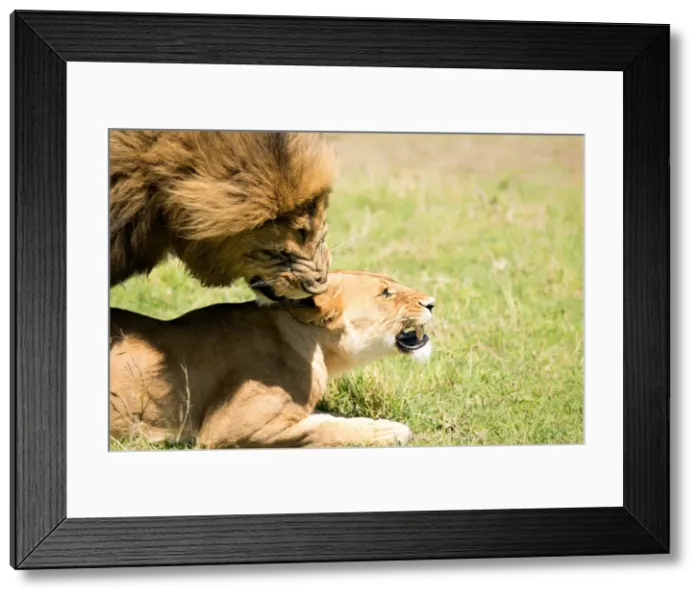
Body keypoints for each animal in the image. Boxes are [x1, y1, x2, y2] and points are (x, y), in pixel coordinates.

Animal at [109, 270, 436, 449]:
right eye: (386, 293)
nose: (432, 302)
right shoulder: (228, 428)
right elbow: (322, 428)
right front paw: (388, 431)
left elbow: (330, 417)